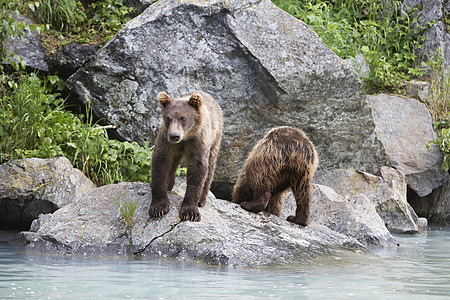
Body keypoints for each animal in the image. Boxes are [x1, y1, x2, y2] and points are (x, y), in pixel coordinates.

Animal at [149, 90, 223, 221]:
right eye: (168, 118)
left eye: (183, 118)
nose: (174, 136)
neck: (186, 137)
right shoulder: (165, 141)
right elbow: (160, 162)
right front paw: (158, 208)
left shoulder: (198, 142)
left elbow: (198, 170)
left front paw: (190, 212)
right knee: (172, 164)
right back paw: (168, 186)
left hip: (215, 138)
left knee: (210, 167)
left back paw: (201, 199)